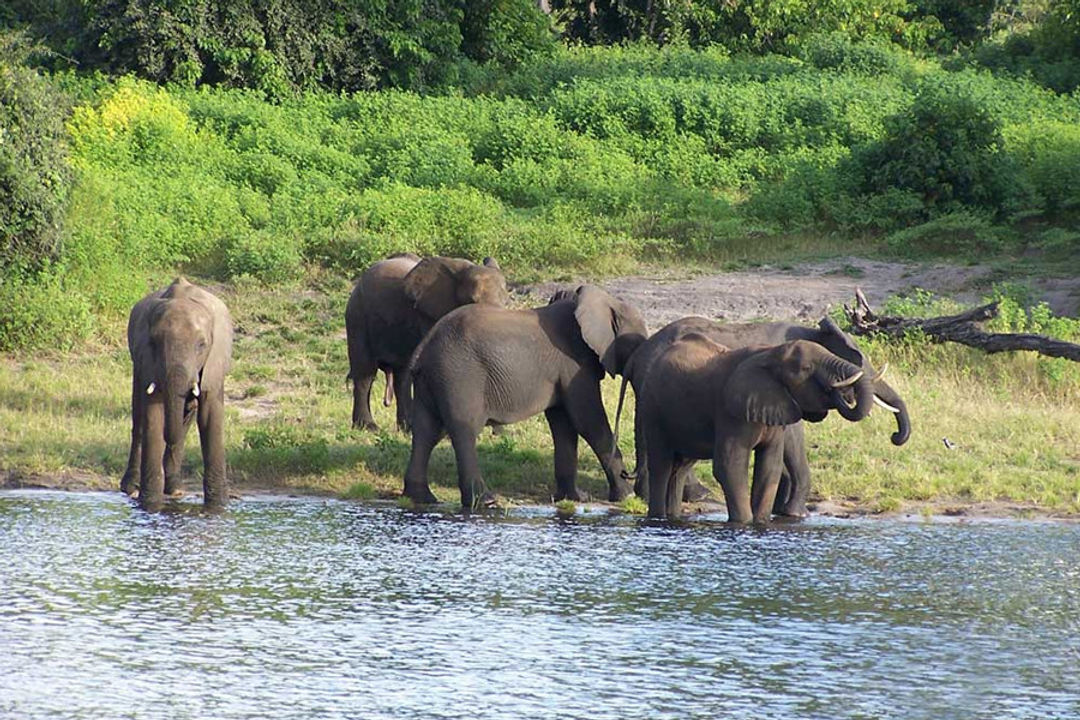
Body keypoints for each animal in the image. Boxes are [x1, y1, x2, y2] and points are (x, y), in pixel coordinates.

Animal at [119, 278, 233, 511]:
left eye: (202, 345)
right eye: (154, 343)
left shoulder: (214, 362)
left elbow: (210, 416)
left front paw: (218, 506)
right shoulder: (148, 360)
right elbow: (153, 415)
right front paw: (150, 504)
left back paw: (174, 490)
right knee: (139, 418)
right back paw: (132, 488)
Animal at [347, 254, 511, 431]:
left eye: (506, 303)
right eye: (471, 301)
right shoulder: (429, 317)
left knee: (401, 376)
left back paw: (406, 428)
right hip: (357, 316)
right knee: (365, 372)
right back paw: (367, 427)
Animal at [401, 284, 643, 509]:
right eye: (638, 344)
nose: (628, 475)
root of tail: (423, 349)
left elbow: (563, 425)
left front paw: (573, 498)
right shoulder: (574, 364)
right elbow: (588, 421)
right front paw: (626, 496)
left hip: (433, 380)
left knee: (426, 432)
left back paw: (421, 498)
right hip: (459, 375)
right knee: (464, 430)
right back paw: (485, 502)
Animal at [617, 317, 911, 518]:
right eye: (860, 363)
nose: (895, 436)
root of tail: (637, 355)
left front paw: (783, 511)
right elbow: (793, 438)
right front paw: (794, 514)